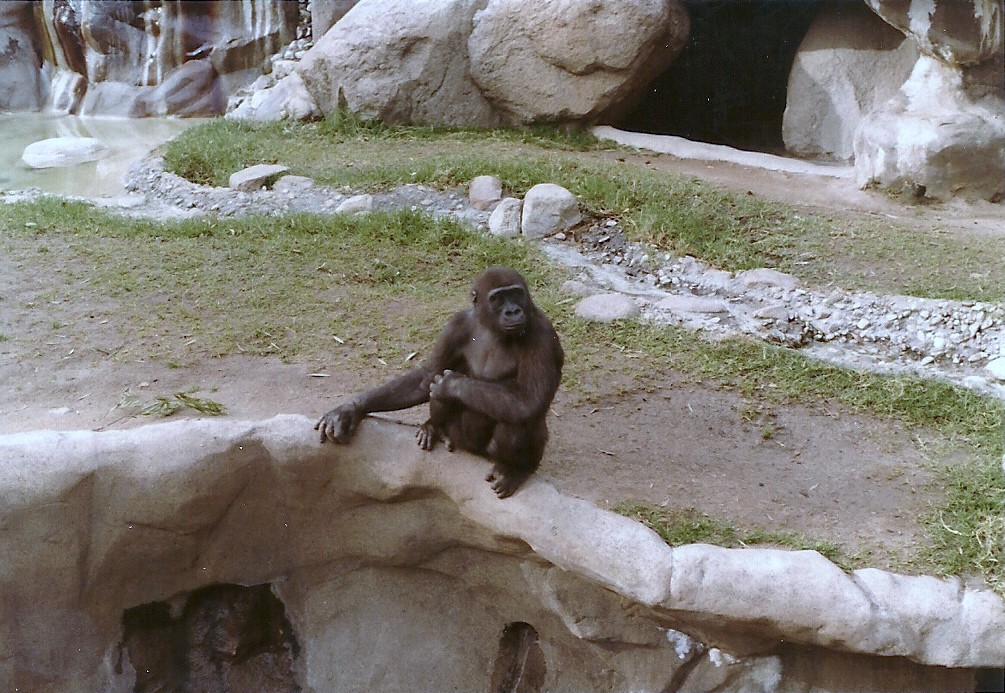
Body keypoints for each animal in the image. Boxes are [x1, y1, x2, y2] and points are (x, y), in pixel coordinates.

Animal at [315, 267, 563, 498]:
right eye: (498, 298)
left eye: (517, 294)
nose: (513, 311)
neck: (489, 326)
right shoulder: (456, 325)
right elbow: (427, 376)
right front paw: (351, 409)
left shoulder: (541, 332)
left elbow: (528, 400)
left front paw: (451, 385)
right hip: (459, 438)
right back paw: (435, 428)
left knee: (518, 419)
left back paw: (515, 470)